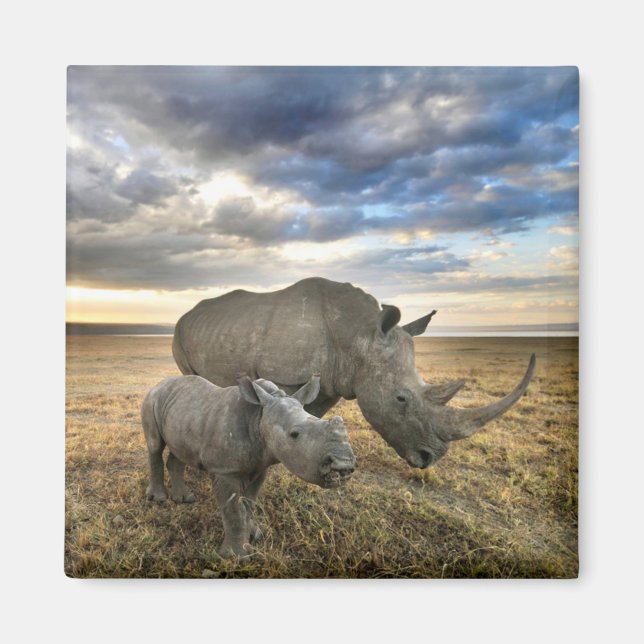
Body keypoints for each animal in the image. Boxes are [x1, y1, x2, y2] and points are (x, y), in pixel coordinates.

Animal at [141, 374, 355, 557]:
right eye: (294, 434)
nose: (343, 465)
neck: (259, 416)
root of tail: (159, 384)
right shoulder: (225, 469)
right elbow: (234, 510)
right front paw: (237, 556)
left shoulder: (260, 466)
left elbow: (249, 503)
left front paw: (255, 535)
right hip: (152, 400)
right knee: (155, 445)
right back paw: (159, 499)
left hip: (182, 411)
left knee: (179, 451)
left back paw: (184, 499)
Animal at [173, 277, 535, 469]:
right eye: (401, 399)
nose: (430, 458)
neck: (359, 337)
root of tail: (187, 313)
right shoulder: (285, 374)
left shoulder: (333, 380)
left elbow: (311, 416)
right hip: (180, 331)